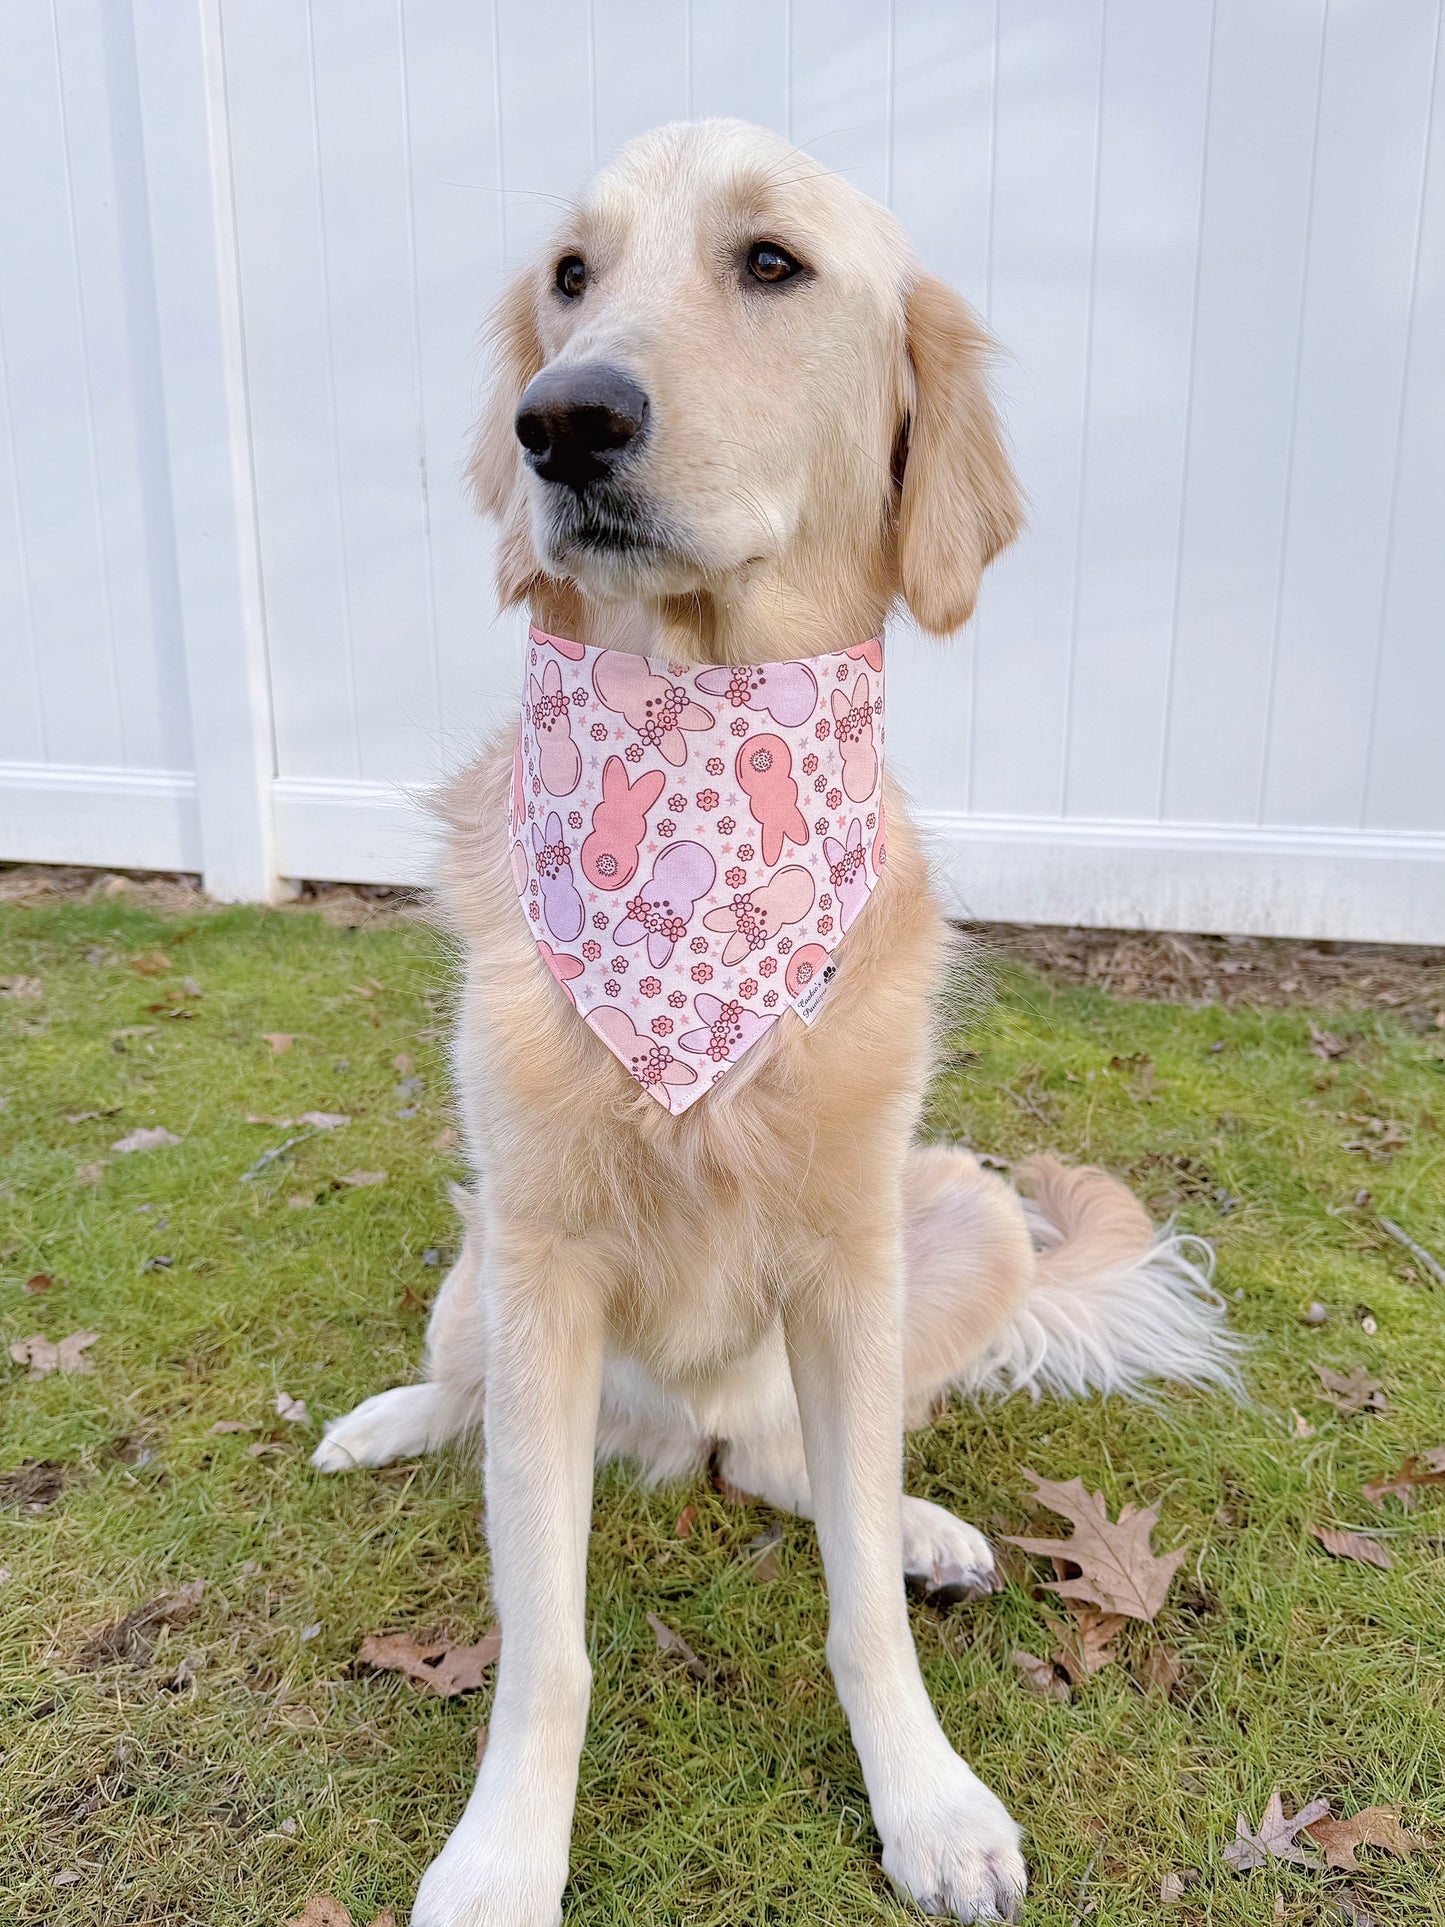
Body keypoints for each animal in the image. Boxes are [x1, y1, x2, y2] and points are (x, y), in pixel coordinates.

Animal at [314, 124, 1233, 1927]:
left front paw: (927, 1795)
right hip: (484, 1264)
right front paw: (502, 1854)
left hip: (968, 1216)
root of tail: (678, 1435)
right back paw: (391, 1420)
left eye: (771, 265)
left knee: (806, 1473)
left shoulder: (849, 1253)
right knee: (479, 1400)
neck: (696, 738)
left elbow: (856, 1590)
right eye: (571, 277)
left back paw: (927, 1523)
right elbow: (545, 1644)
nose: (562, 419)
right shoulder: (540, 1257)